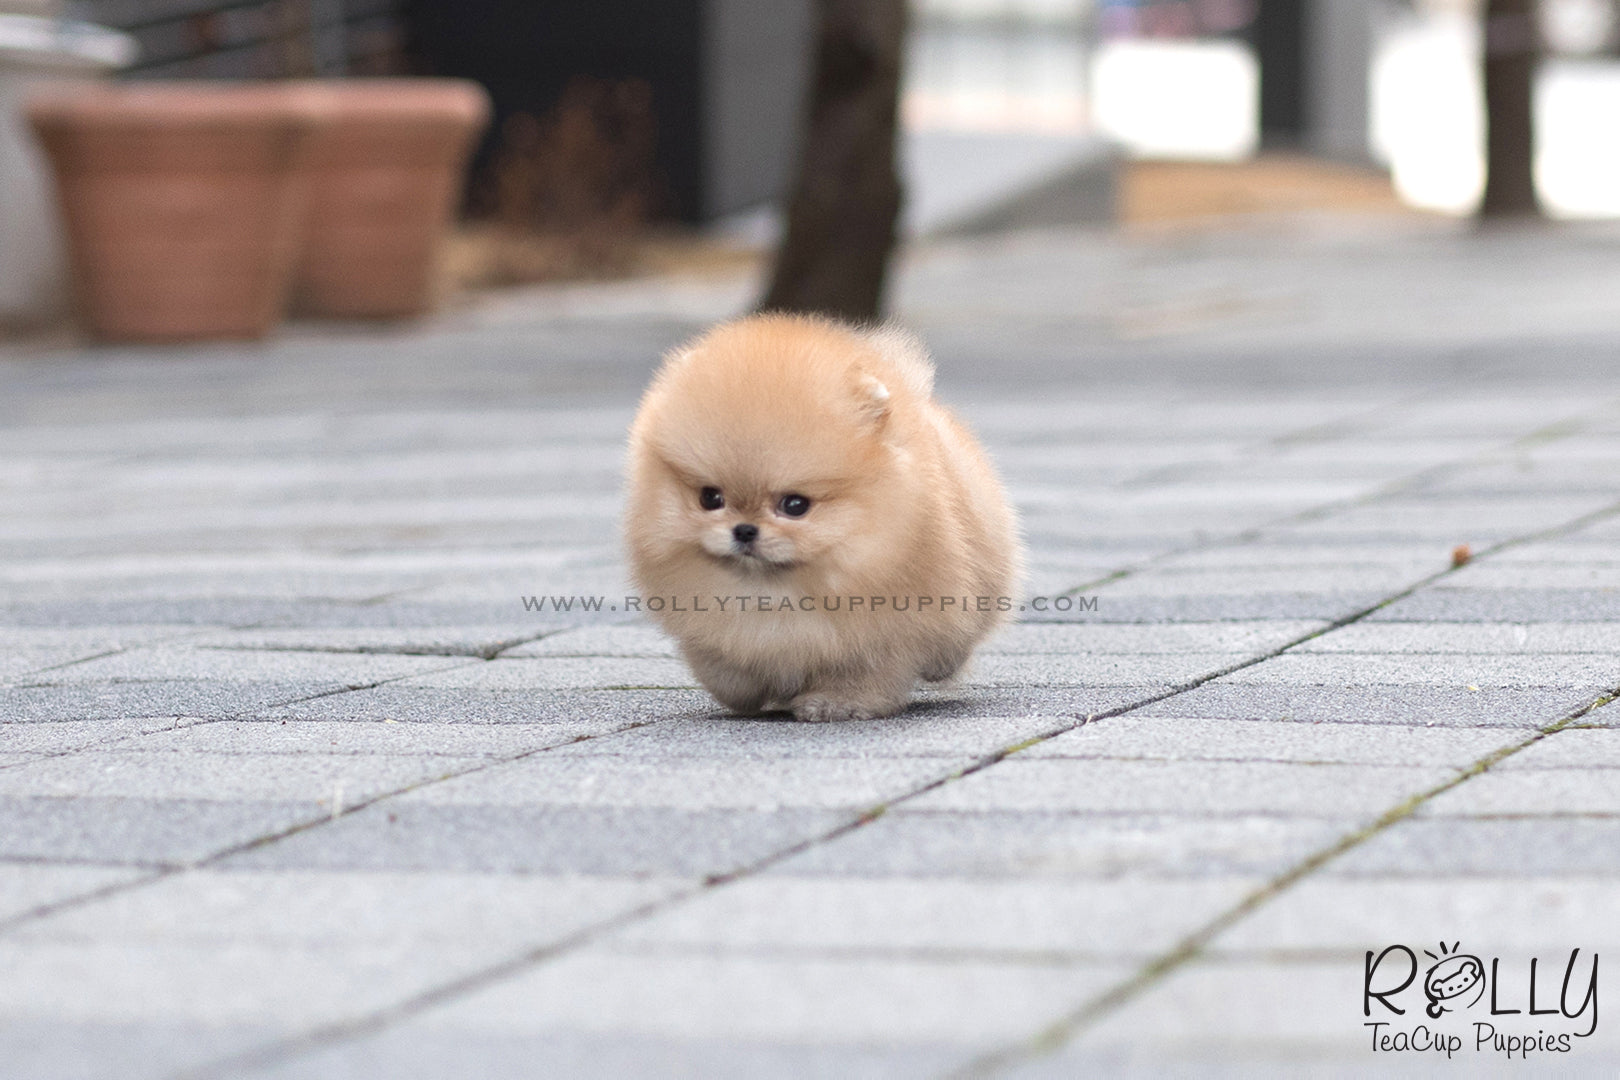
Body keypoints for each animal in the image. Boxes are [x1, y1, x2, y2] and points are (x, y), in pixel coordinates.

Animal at [625, 312, 1017, 722]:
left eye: (795, 505)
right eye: (710, 498)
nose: (744, 530)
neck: (777, 590)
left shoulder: (883, 634)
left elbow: (863, 672)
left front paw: (836, 703)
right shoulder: (713, 629)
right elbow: (726, 669)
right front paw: (751, 693)